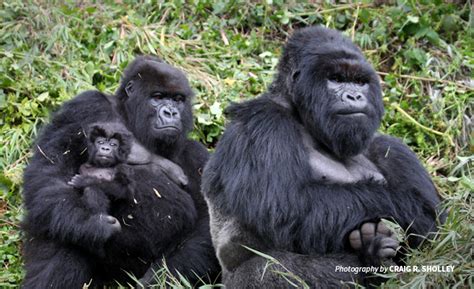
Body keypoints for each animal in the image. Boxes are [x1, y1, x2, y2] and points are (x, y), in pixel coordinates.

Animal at [20, 55, 217, 286]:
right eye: (157, 97)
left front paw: (158, 278)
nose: (171, 112)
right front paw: (91, 225)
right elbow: (52, 170)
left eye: (178, 99)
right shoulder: (85, 106)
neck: (130, 119)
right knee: (58, 220)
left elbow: (208, 223)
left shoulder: (196, 155)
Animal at [202, 25, 442, 286]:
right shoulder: (262, 121)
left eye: (360, 82)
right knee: (270, 270)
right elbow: (286, 206)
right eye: (335, 79)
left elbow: (437, 228)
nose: (354, 97)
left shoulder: (392, 149)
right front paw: (404, 205)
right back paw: (372, 259)